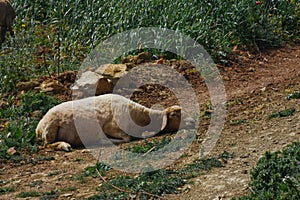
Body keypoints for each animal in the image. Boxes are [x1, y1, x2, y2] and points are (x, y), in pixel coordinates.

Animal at [35, 93, 195, 150]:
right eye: (175, 115)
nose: (193, 122)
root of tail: (38, 127)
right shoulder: (110, 127)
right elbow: (126, 138)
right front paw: (102, 141)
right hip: (50, 129)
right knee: (47, 145)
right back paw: (64, 145)